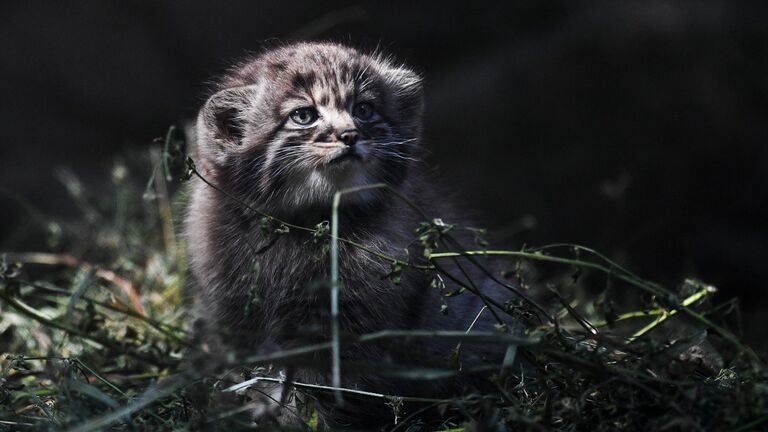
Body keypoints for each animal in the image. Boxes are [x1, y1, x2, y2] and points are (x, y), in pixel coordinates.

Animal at [186, 41, 520, 428]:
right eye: (304, 115)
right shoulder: (236, 314)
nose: (349, 135)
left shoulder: (350, 329)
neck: (302, 227)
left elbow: (321, 392)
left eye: (364, 110)